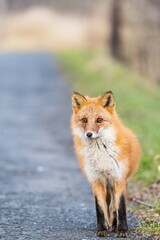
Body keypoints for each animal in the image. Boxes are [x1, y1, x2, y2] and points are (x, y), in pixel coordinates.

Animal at [71, 91, 140, 237]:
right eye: (84, 120)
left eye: (99, 120)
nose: (89, 134)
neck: (101, 154)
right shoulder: (96, 180)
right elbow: (101, 209)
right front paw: (102, 229)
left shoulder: (118, 179)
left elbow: (120, 208)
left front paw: (122, 230)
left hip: (117, 183)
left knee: (113, 206)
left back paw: (114, 225)